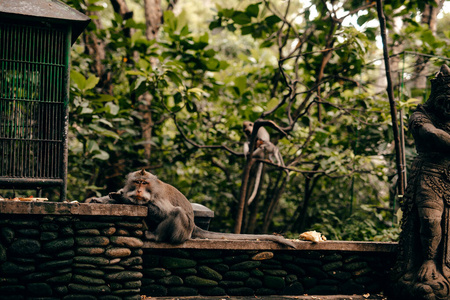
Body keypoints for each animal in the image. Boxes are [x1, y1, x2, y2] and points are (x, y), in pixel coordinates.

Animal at [85, 170, 296, 247]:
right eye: (136, 181)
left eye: (144, 183)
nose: (138, 190)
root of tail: (194, 226)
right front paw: (102, 199)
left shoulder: (157, 197)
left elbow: (162, 211)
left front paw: (123, 198)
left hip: (183, 232)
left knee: (177, 214)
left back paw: (156, 236)